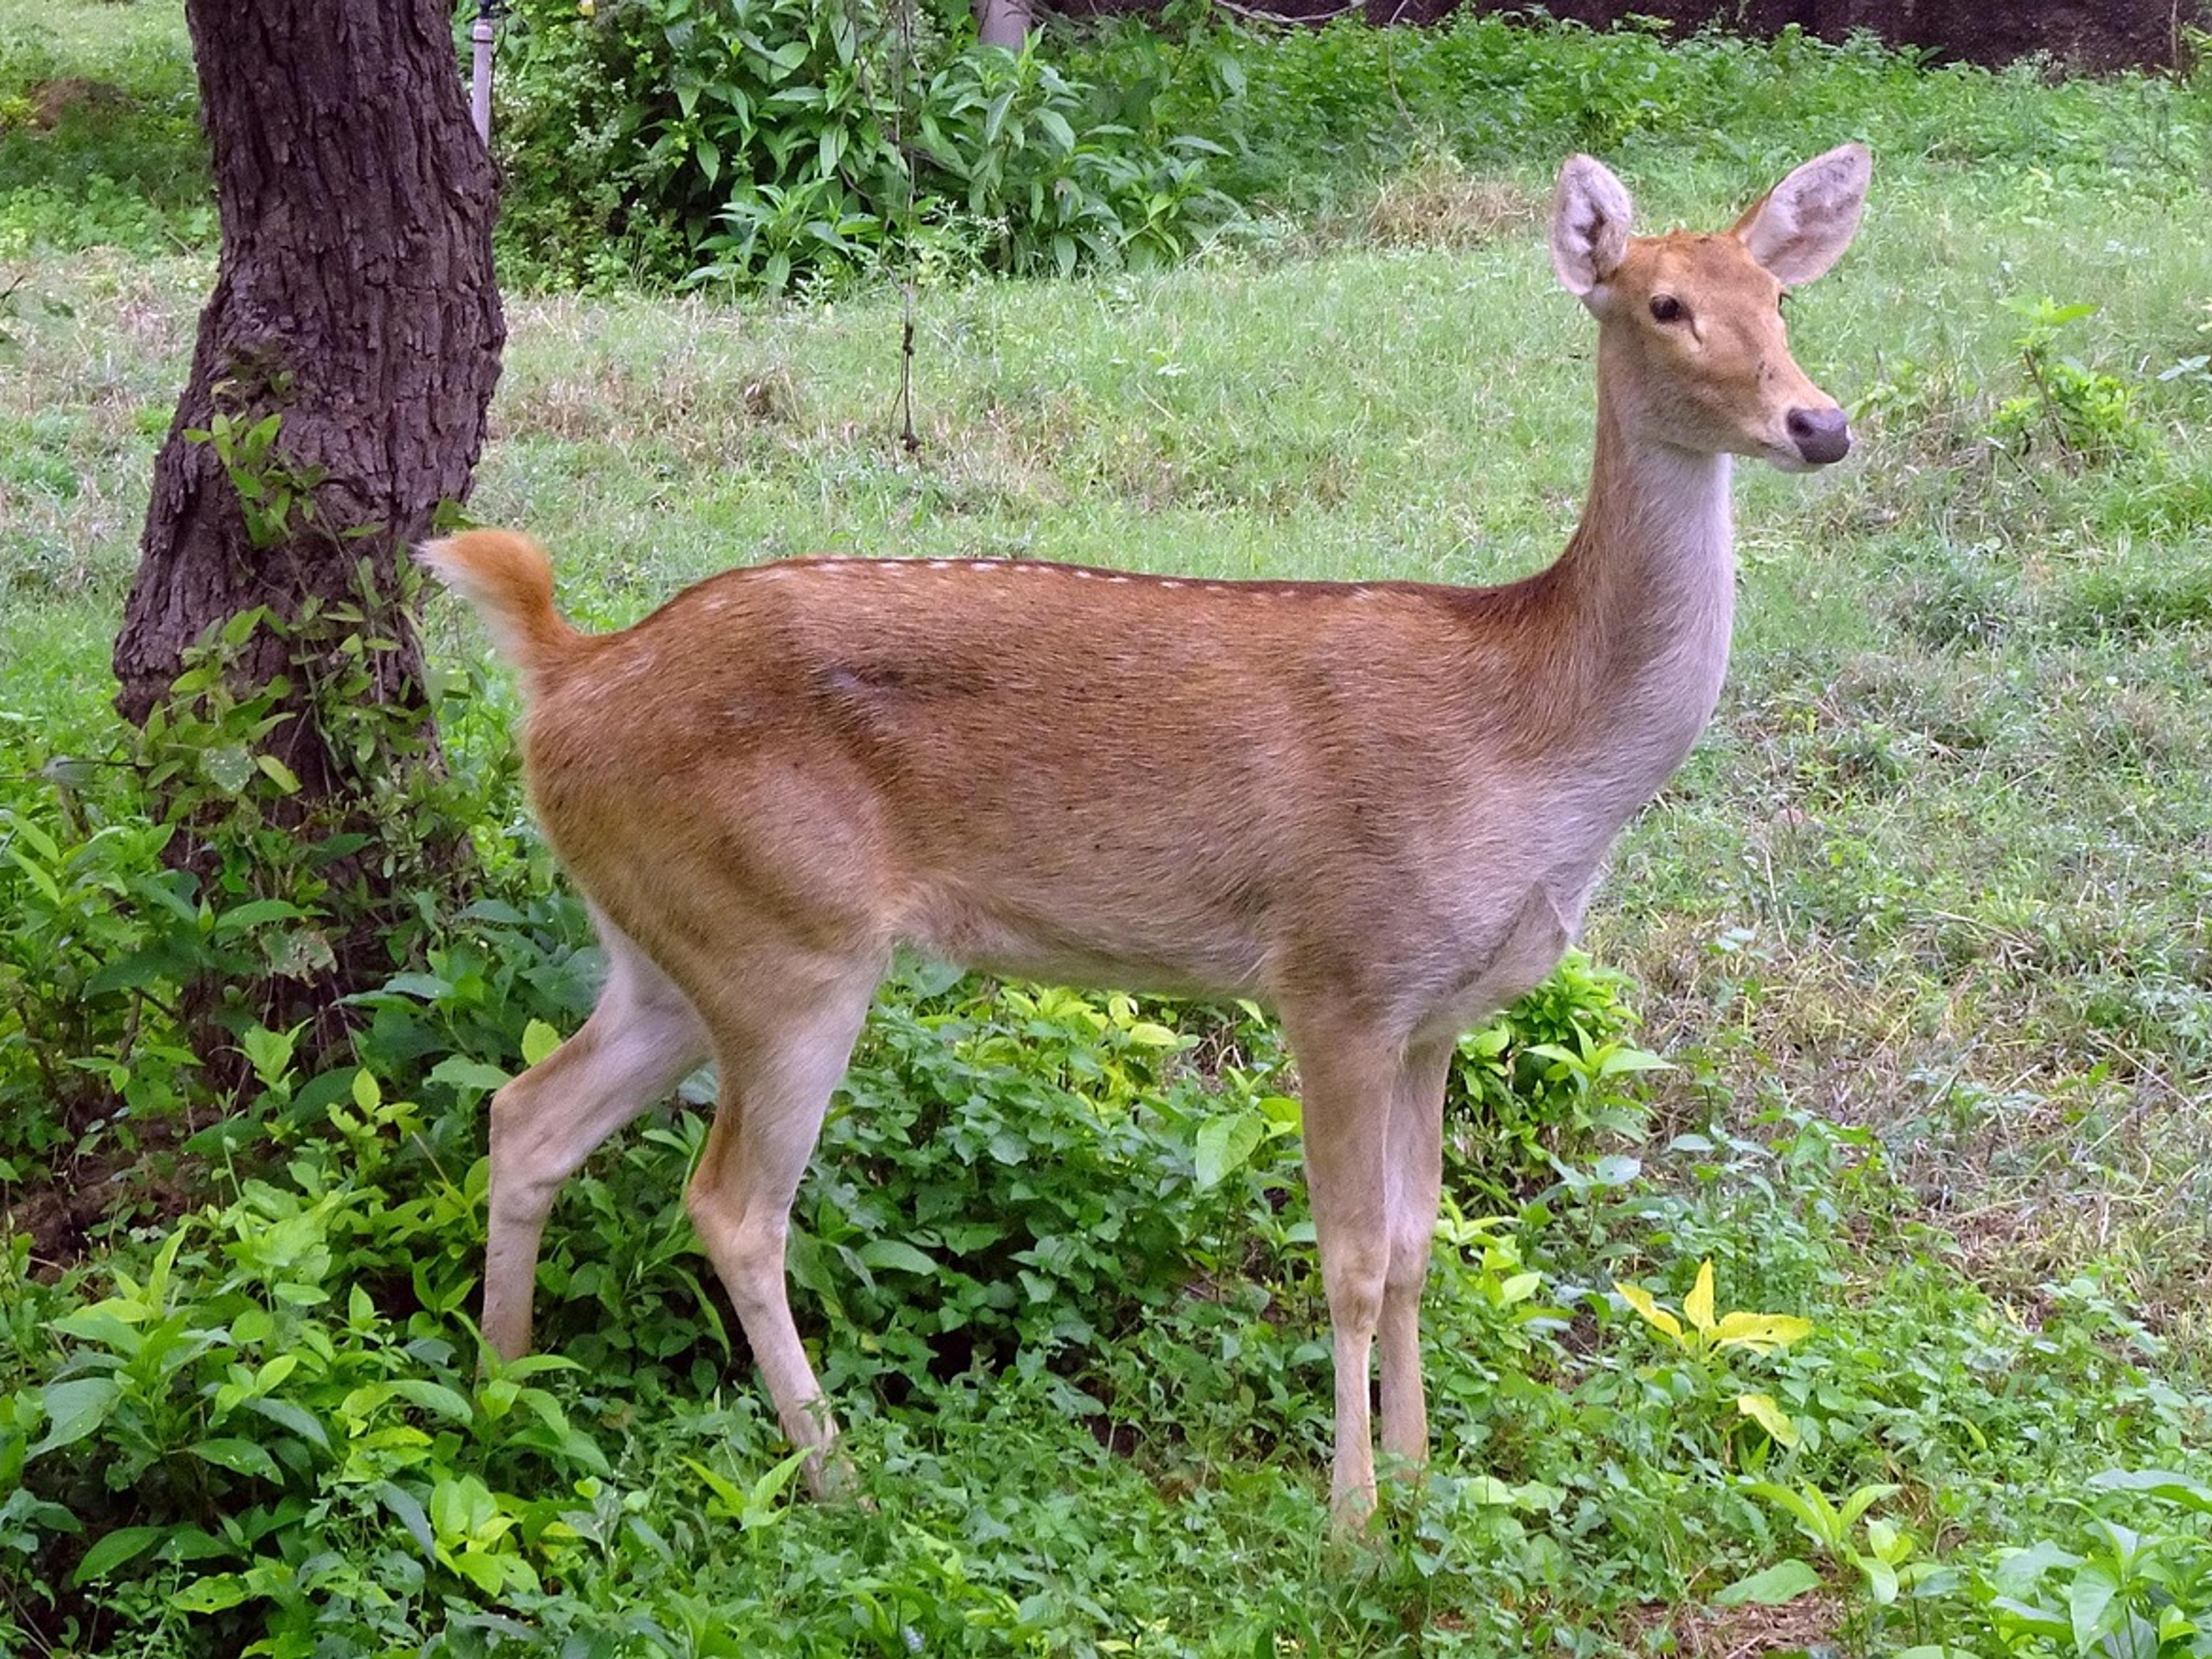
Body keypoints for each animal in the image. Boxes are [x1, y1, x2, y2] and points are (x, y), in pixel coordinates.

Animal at [421, 143, 1869, 1528]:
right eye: (1665, 304)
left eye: (1780, 297)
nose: (1821, 421)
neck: (1532, 750)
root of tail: (565, 675)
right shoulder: (1337, 971)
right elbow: (1350, 1260)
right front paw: (1351, 1526)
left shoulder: (1437, 1013)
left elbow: (1417, 1248)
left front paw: (1418, 1483)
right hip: (790, 939)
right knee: (732, 1205)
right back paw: (835, 1479)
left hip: (674, 941)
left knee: (526, 1113)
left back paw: (503, 1393)